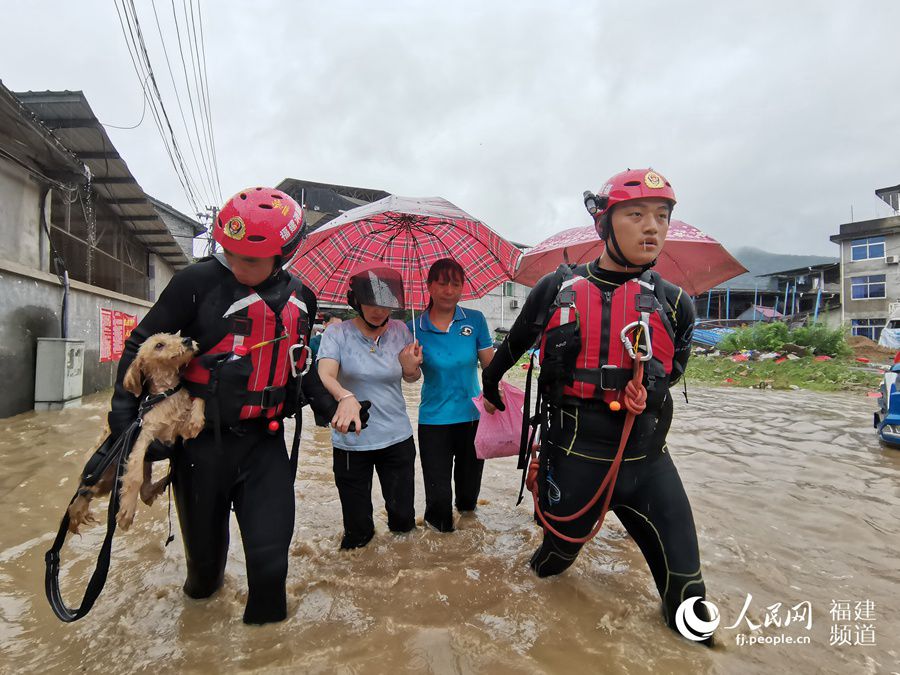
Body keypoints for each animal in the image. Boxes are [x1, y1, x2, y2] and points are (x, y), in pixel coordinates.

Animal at [67, 332, 207, 532]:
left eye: (176, 335)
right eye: (159, 345)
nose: (187, 340)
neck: (166, 395)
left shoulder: (181, 430)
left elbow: (199, 400)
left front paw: (197, 417)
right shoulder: (142, 438)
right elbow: (134, 477)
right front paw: (126, 510)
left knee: (146, 493)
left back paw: (165, 481)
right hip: (101, 467)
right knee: (84, 491)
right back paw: (78, 508)